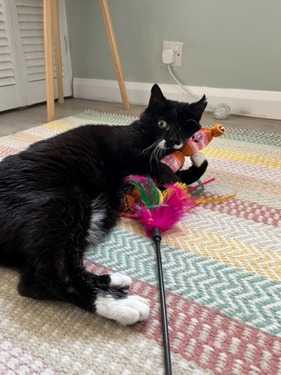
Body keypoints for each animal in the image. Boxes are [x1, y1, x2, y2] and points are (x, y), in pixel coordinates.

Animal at [0, 83, 206, 324]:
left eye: (184, 128)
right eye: (162, 123)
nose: (173, 140)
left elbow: (186, 175)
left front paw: (197, 160)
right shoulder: (133, 153)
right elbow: (160, 168)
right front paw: (177, 178)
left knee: (34, 282)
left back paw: (115, 281)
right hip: (62, 203)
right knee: (54, 275)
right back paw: (122, 305)